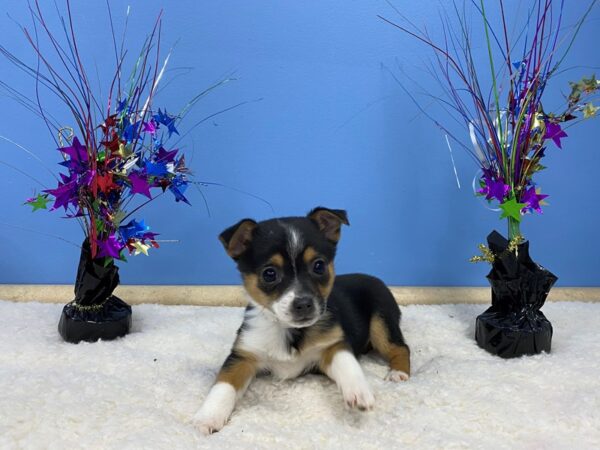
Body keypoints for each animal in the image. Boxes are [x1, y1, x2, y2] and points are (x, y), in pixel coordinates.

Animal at [195, 208, 410, 436]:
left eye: (319, 266)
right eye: (269, 274)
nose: (304, 304)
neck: (289, 330)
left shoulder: (333, 345)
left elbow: (348, 364)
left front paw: (359, 391)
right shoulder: (243, 356)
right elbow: (223, 384)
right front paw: (209, 416)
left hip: (381, 321)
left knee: (400, 347)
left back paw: (398, 372)